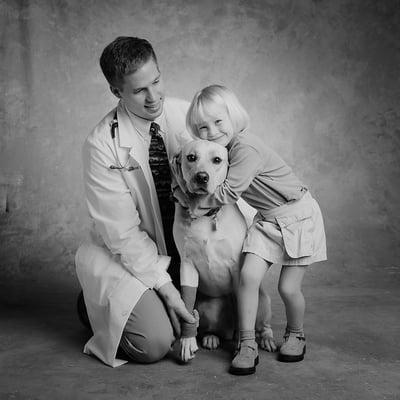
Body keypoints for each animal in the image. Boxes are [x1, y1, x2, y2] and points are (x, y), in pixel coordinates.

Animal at [172, 140, 276, 362]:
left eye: (217, 160)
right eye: (191, 157)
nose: (202, 177)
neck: (206, 215)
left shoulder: (237, 271)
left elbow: (241, 313)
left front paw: (242, 347)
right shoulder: (187, 266)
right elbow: (187, 305)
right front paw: (187, 341)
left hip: (262, 300)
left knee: (260, 323)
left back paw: (265, 339)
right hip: (208, 306)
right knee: (213, 326)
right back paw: (212, 337)